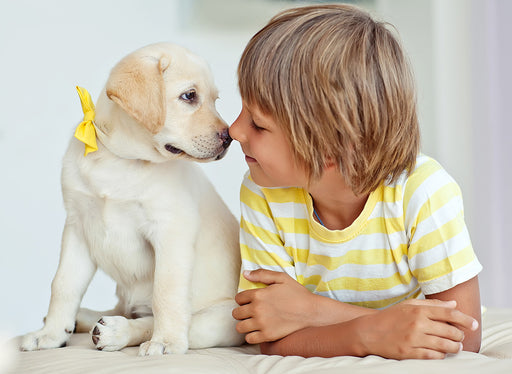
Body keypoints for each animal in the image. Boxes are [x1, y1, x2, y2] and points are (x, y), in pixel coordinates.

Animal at [20, 42, 244, 356]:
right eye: (190, 96)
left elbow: (166, 291)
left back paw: (116, 331)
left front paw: (166, 341)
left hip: (223, 319)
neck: (119, 160)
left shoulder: (171, 230)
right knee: (121, 308)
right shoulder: (78, 228)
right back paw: (83, 319)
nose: (229, 138)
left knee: (156, 320)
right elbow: (63, 284)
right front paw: (51, 334)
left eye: (215, 99)